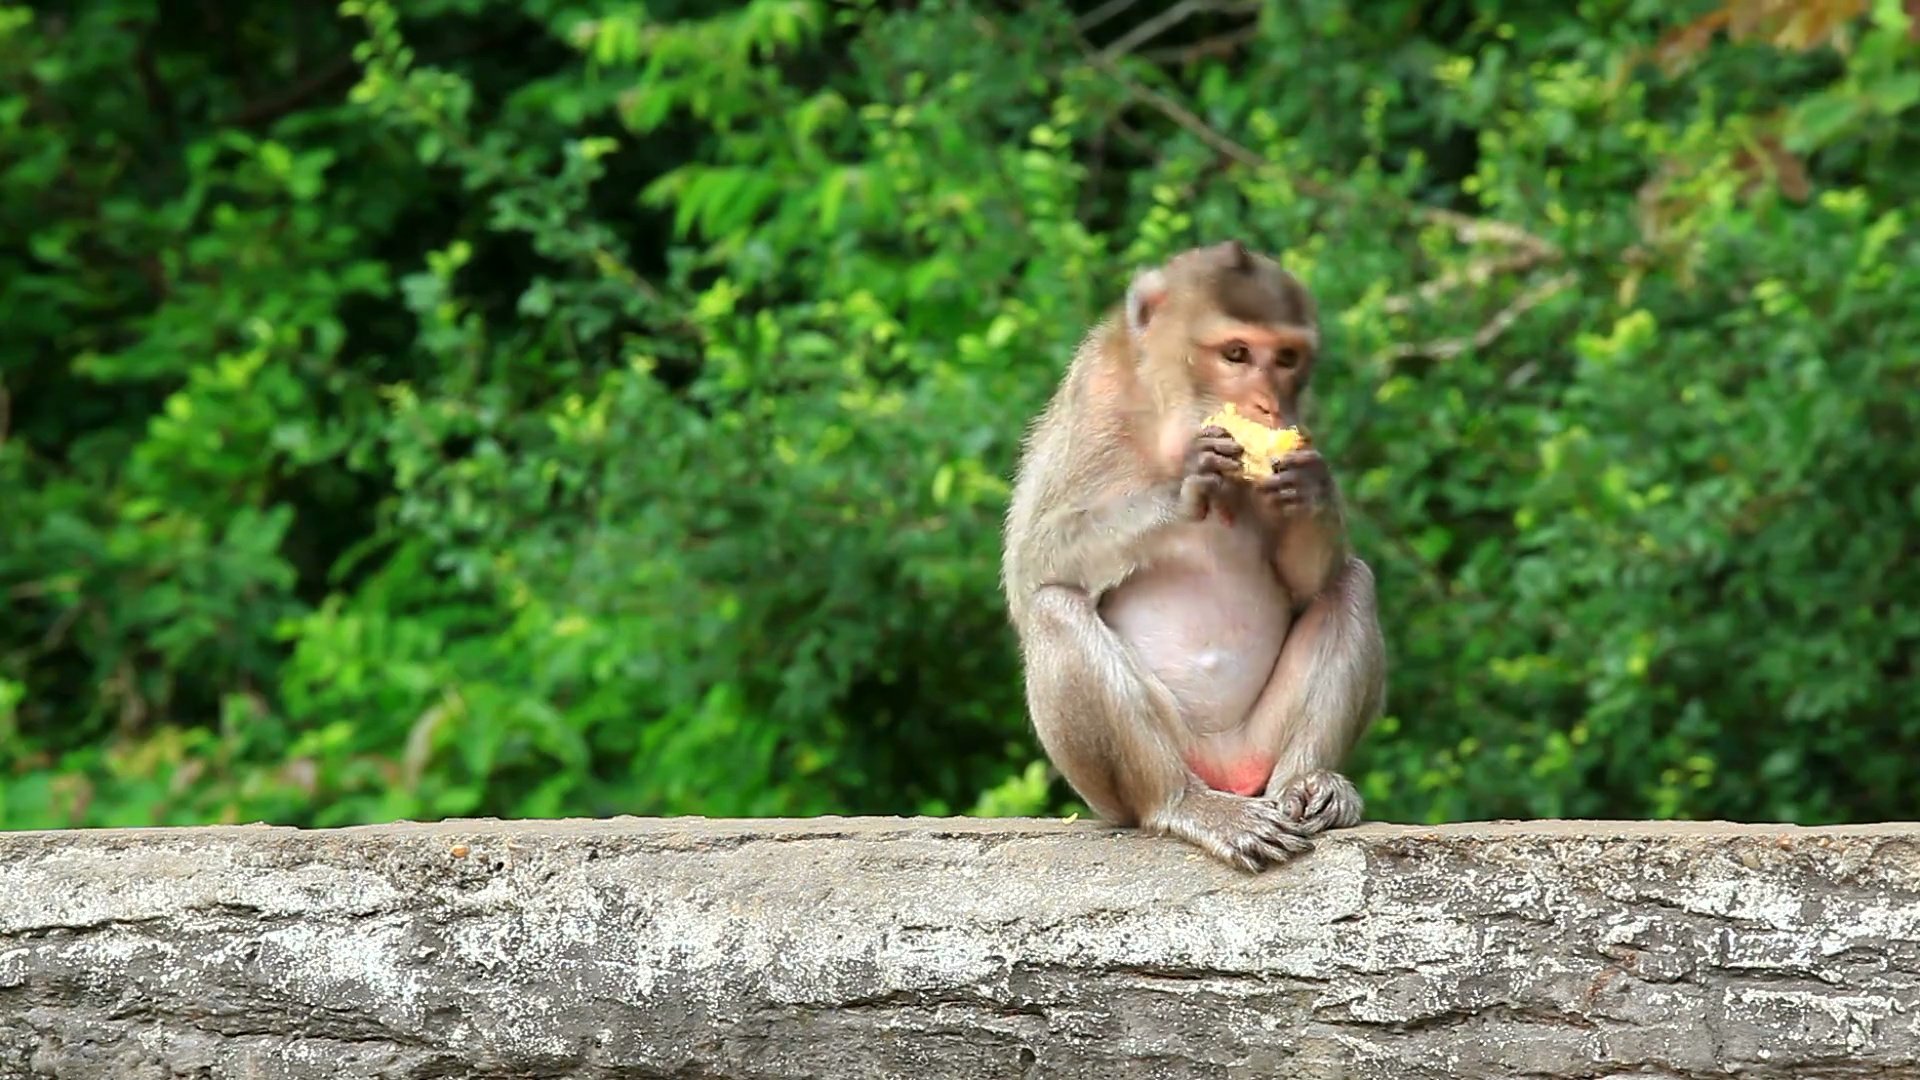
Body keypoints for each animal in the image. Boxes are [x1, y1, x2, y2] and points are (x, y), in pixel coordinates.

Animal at [998, 239, 1390, 868]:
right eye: (1235, 353)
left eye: (1286, 358)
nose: (1266, 406)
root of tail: (1226, 766)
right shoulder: (1095, 399)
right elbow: (1032, 559)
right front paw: (1187, 486)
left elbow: (1307, 584)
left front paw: (1312, 488)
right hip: (1151, 762)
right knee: (1055, 609)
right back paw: (1184, 804)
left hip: (1260, 743)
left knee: (1350, 582)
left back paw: (1311, 785)